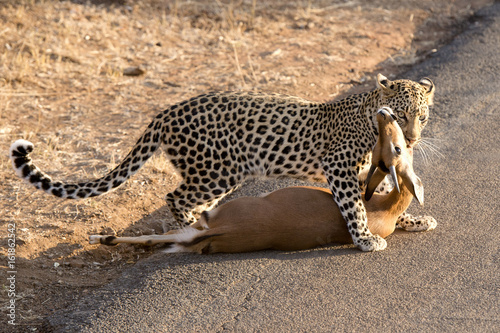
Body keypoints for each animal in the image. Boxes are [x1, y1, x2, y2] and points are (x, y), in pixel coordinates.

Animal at [9, 72, 436, 249]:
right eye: (401, 115)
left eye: (422, 115)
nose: (413, 138)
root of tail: (166, 112)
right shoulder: (339, 169)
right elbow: (355, 207)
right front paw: (364, 238)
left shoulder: (364, 172)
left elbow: (383, 196)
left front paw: (413, 221)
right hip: (218, 170)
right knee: (176, 198)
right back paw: (191, 226)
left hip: (217, 174)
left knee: (192, 200)